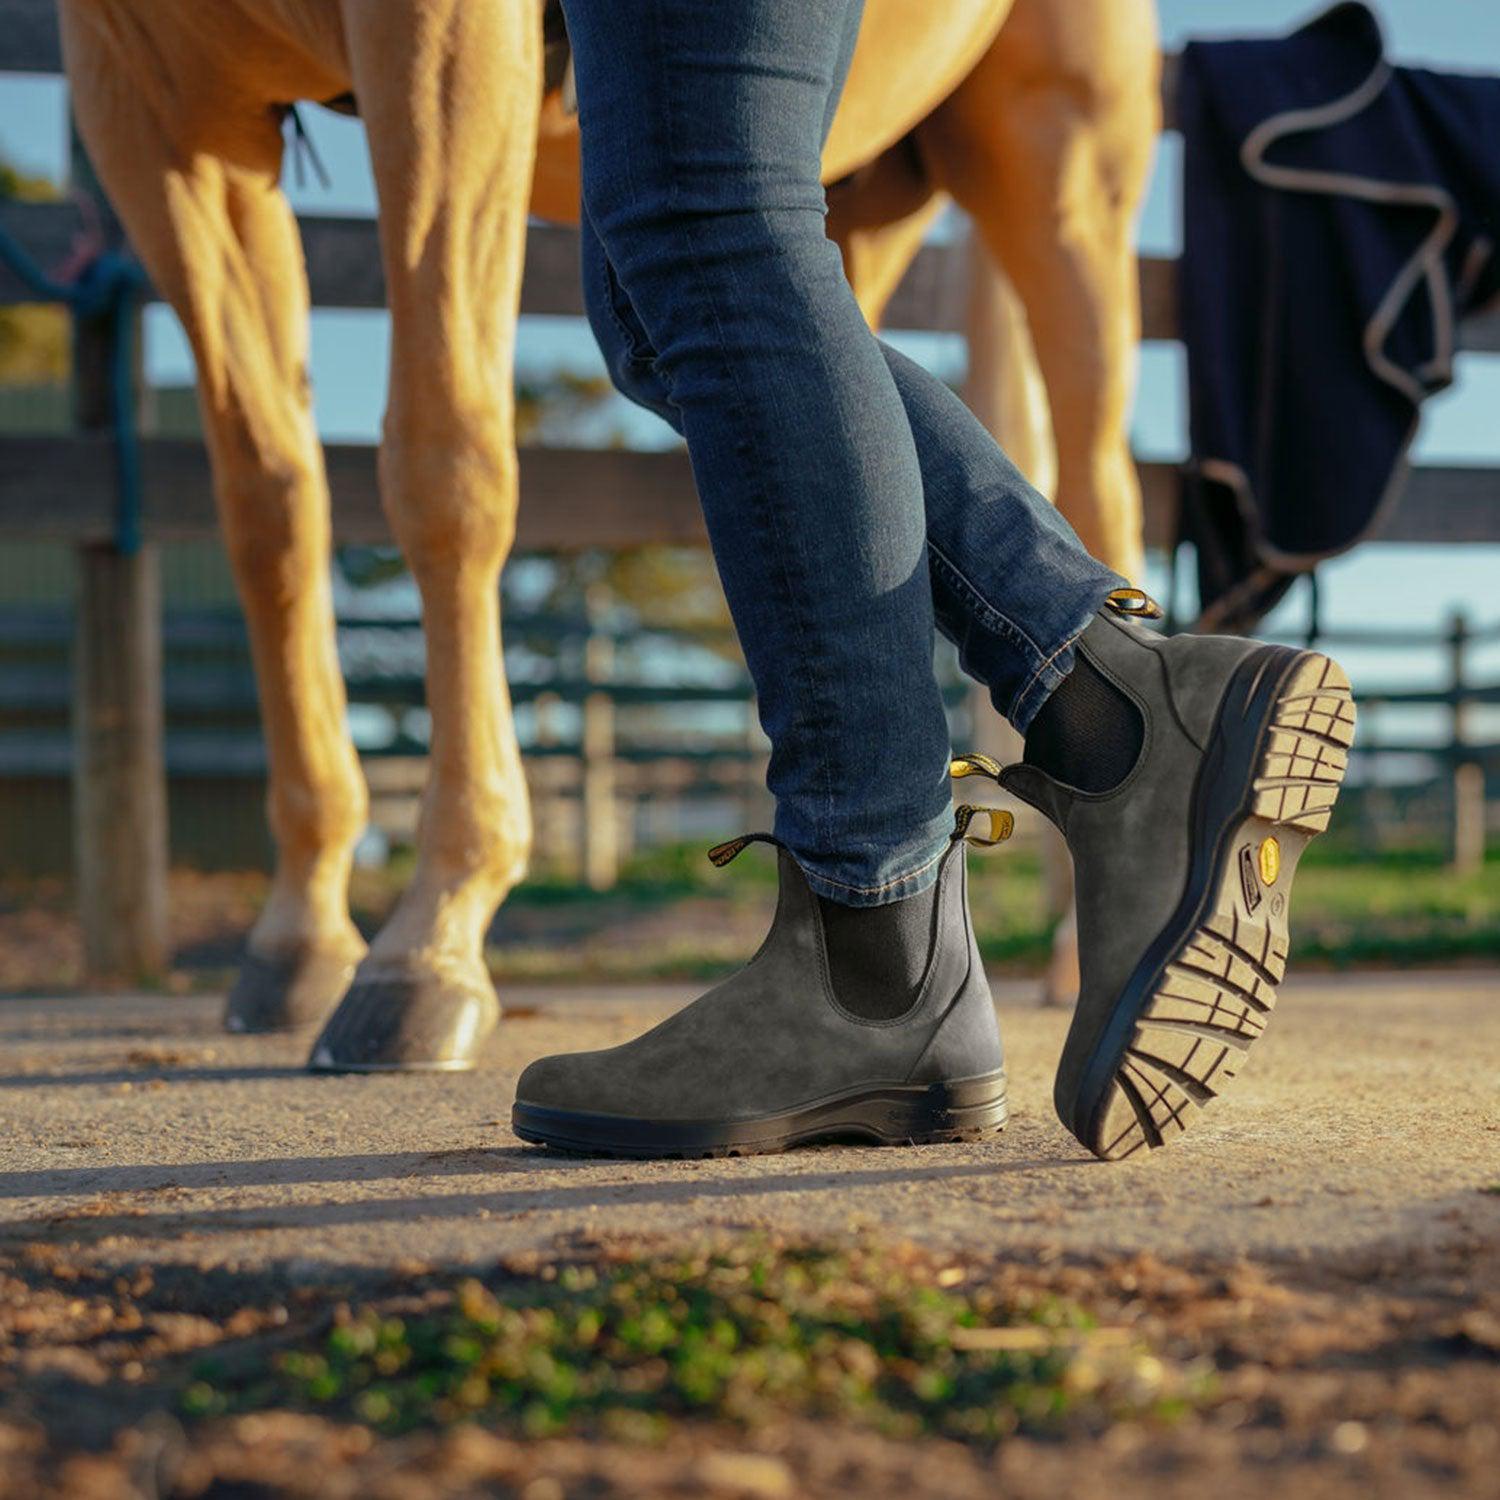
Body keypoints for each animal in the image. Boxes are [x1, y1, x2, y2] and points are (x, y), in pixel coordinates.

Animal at [55, 0, 1158, 1068]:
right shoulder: (156, 102)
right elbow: (268, 505)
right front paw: (302, 934)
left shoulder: (439, 40)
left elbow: (442, 463)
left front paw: (432, 934)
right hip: (863, 168)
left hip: (1057, 151)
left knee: (1098, 475)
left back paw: (1100, 935)